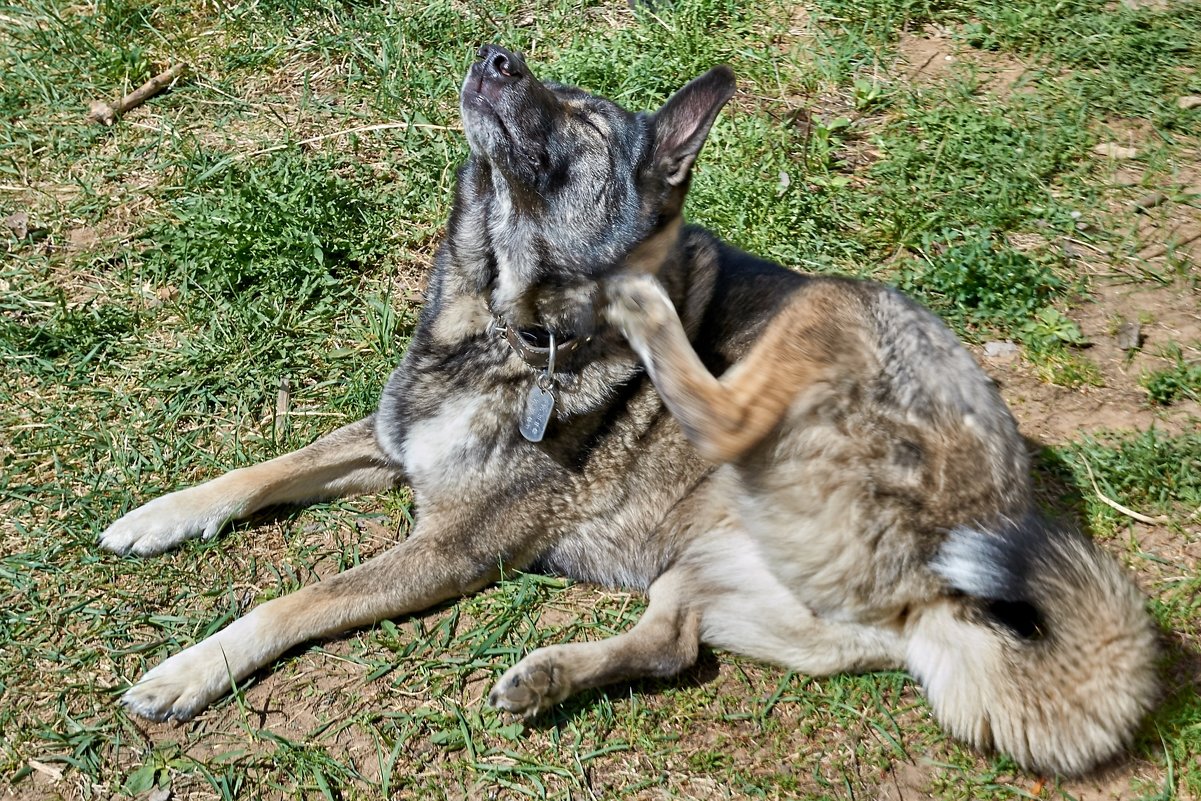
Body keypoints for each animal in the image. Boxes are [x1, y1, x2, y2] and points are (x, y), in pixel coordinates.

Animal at [100, 43, 1152, 778]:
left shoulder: (449, 548)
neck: (504, 321)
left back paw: (646, 311)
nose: (496, 53)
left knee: (720, 426)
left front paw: (187, 669)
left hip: (833, 311)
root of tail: (949, 587)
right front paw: (156, 516)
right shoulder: (390, 442)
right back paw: (547, 677)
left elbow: (295, 600)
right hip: (705, 566)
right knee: (669, 645)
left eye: (588, 124)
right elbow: (262, 470)